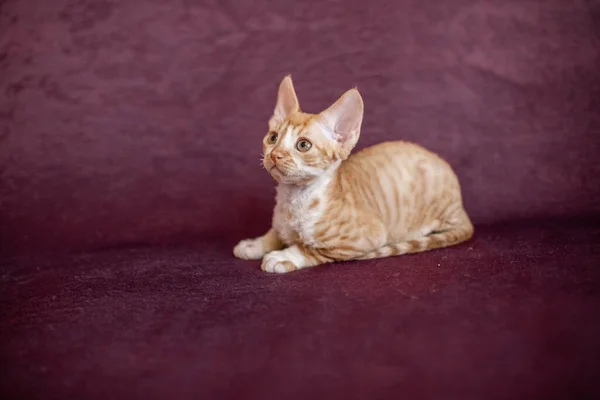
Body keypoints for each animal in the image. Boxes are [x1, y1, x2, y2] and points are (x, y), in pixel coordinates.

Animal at [234, 75, 474, 274]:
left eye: (303, 145)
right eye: (273, 138)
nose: (275, 155)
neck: (292, 199)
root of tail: (462, 207)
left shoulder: (366, 237)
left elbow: (309, 247)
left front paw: (283, 256)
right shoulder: (281, 223)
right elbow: (275, 233)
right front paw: (254, 244)